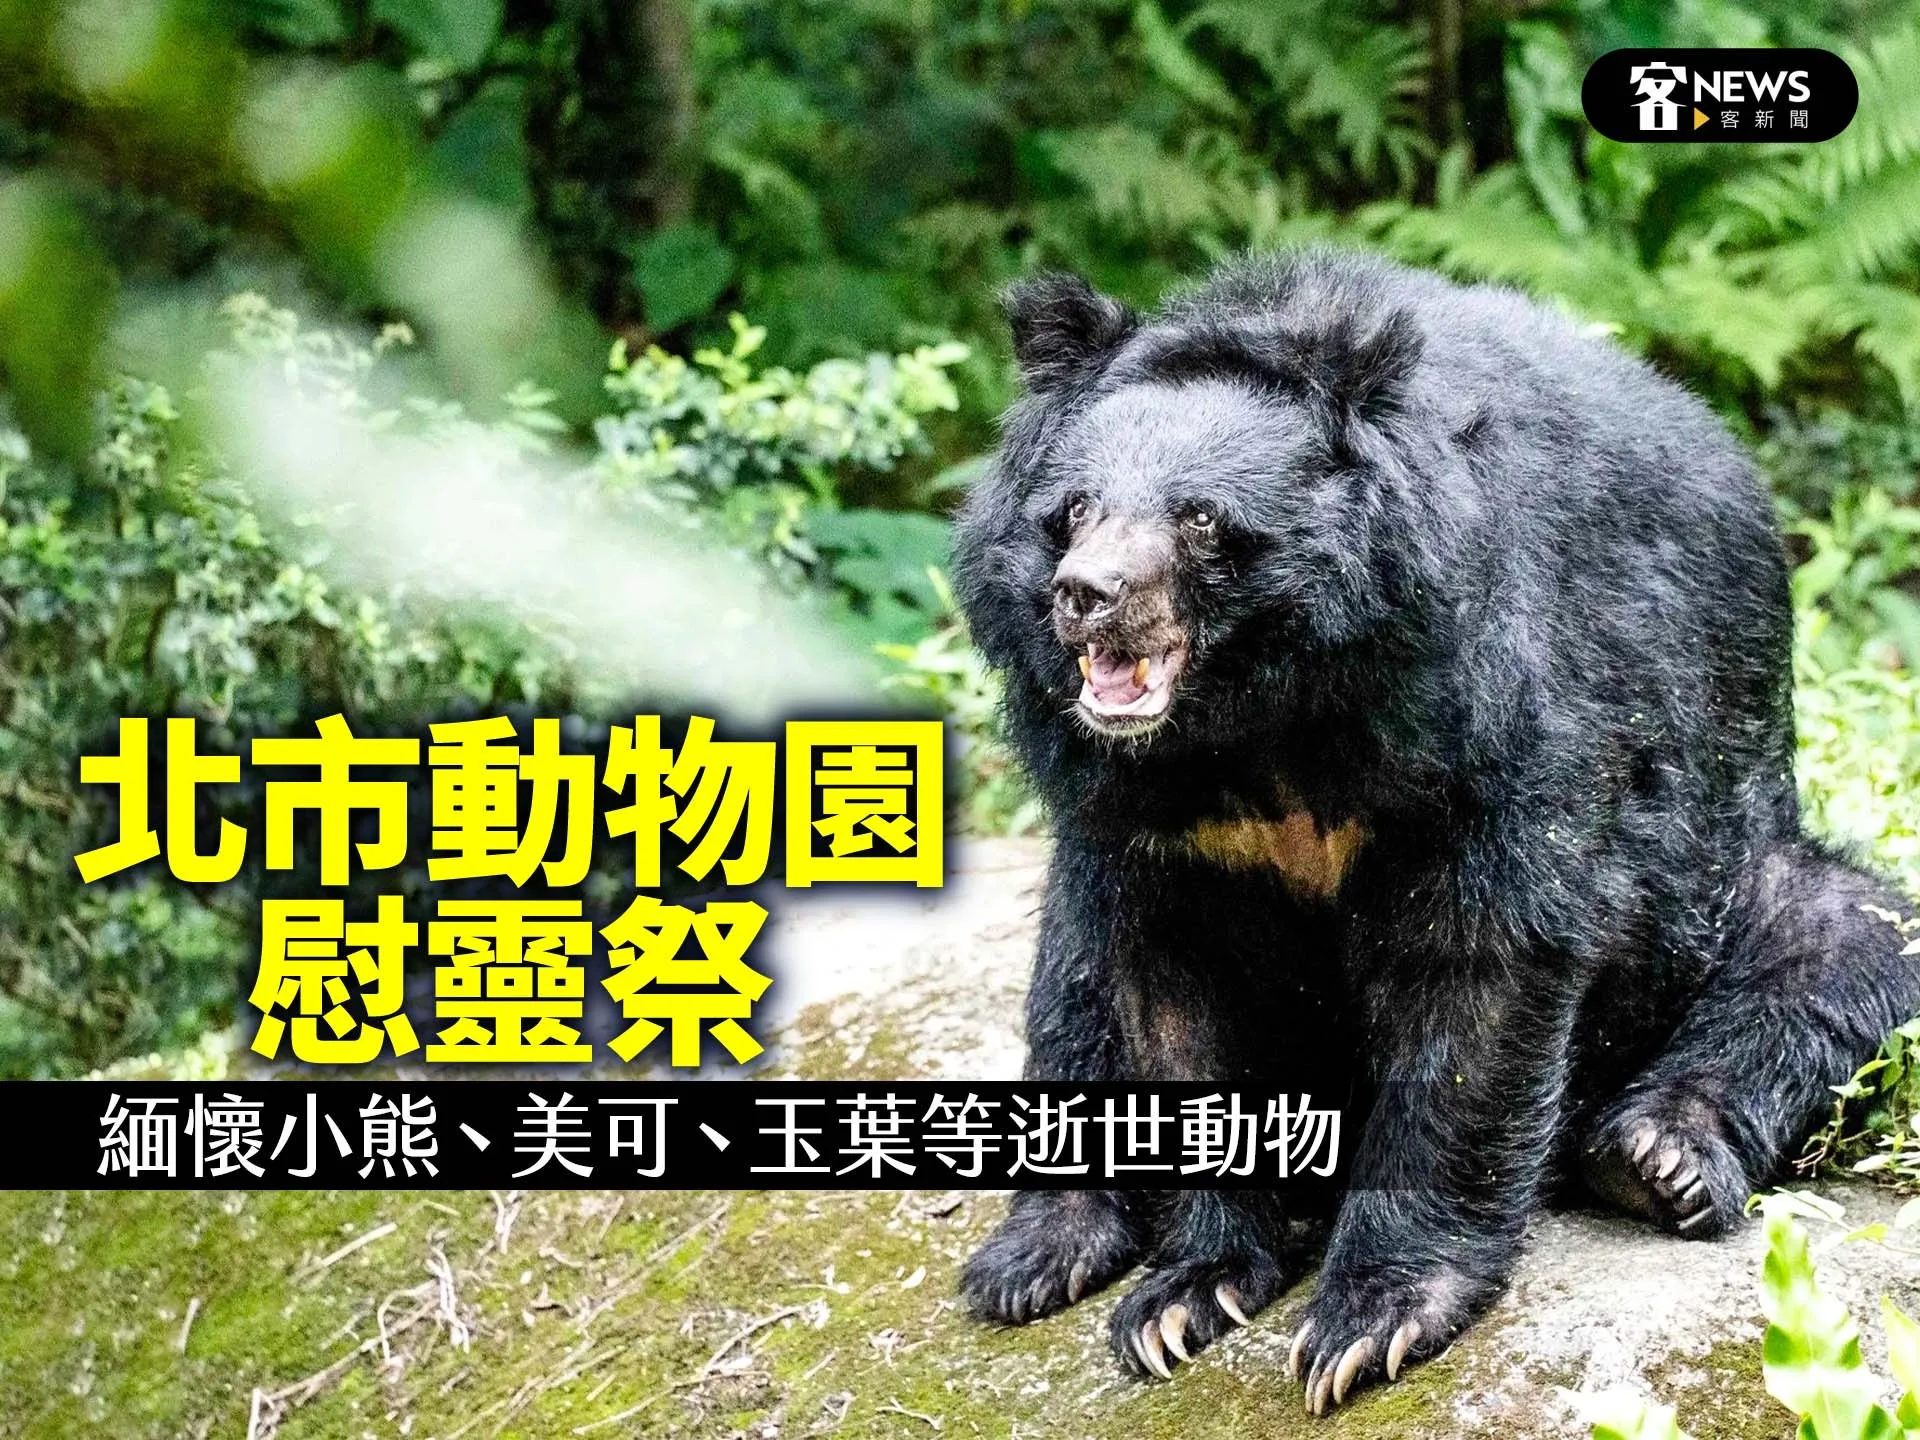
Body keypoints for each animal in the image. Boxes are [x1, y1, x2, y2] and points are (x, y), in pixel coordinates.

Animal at [948, 249, 1920, 1414]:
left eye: (1200, 520)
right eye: (1075, 507)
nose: (1085, 597)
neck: (1259, 719)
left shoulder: (1494, 711)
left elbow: (1483, 974)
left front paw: (1370, 1320)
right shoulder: (1140, 814)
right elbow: (1171, 1000)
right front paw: (1184, 1296)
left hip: (1735, 863)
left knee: (1843, 944)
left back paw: (1655, 1158)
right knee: (1071, 991)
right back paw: (1036, 1253)